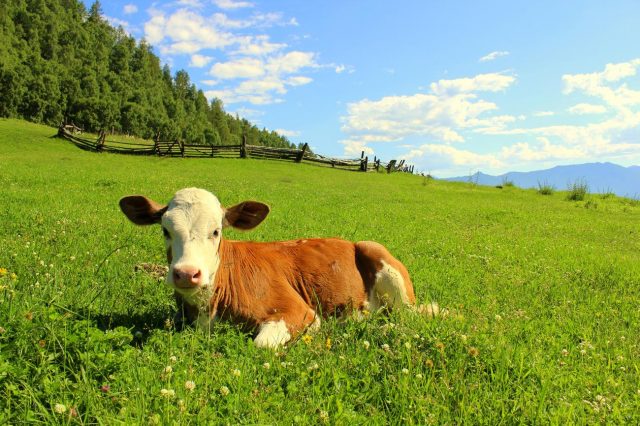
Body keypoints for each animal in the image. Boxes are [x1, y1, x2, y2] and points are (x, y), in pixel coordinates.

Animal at [119, 188, 416, 348]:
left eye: (216, 231)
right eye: (165, 231)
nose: (186, 273)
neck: (208, 308)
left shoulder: (300, 311)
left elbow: (261, 343)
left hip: (383, 264)